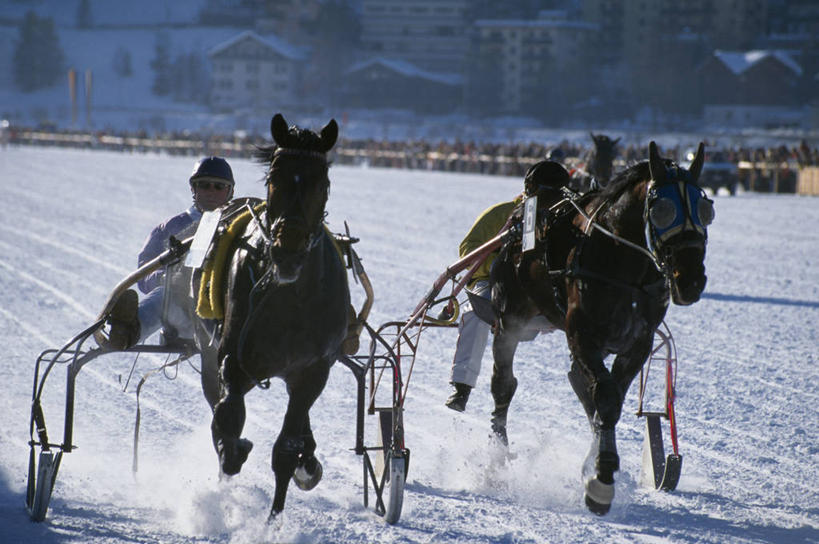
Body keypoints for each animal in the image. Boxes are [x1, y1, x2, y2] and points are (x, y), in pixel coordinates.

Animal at [190, 113, 351, 520]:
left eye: (322, 181)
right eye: (275, 177)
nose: (288, 251)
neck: (290, 297)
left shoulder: (313, 370)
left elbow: (286, 447)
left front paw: (274, 519)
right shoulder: (233, 359)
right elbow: (227, 423)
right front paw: (231, 465)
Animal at [488, 141, 713, 515]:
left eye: (705, 209)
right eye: (663, 210)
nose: (691, 279)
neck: (621, 262)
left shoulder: (638, 339)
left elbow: (612, 398)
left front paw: (594, 465)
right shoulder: (581, 331)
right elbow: (605, 398)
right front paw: (601, 479)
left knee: (580, 383)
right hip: (509, 318)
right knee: (503, 384)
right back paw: (497, 457)